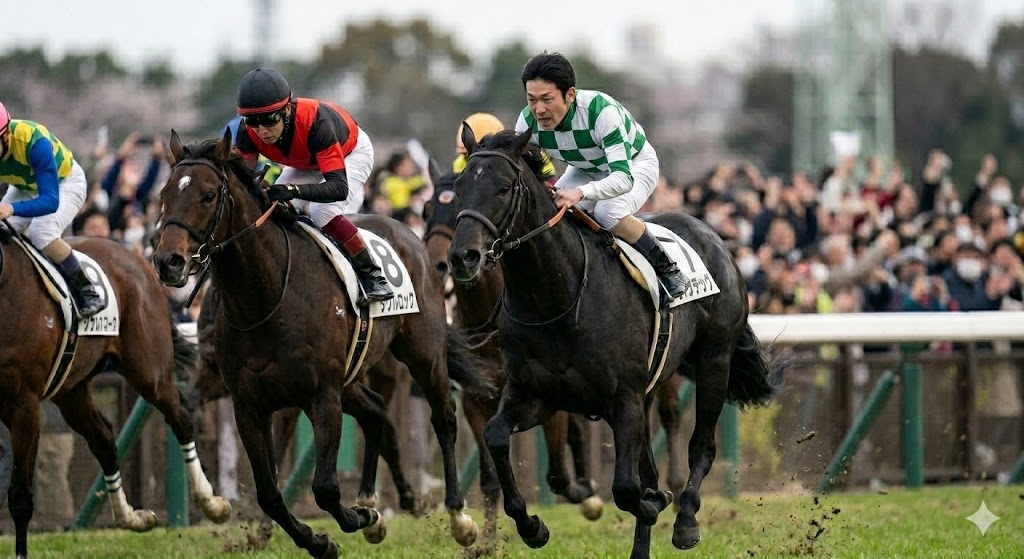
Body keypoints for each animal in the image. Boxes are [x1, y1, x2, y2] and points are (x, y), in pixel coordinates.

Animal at [0, 227, 230, 559]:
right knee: (105, 440)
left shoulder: (24, 405)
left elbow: (20, 495)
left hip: (149, 371)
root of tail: (136, 259)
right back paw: (132, 517)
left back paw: (211, 503)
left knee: (181, 419)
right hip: (71, 389)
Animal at [152, 130, 487, 559]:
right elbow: (269, 493)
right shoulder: (249, 405)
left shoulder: (321, 394)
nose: (168, 261)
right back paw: (370, 500)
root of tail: (413, 239)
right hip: (352, 374)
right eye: (165, 193)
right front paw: (325, 536)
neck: (265, 297)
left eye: (209, 195)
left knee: (443, 417)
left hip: (423, 354)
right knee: (375, 410)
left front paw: (356, 521)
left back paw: (459, 518)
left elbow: (325, 488)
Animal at [423, 169, 605, 535]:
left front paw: (583, 491)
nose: (441, 263)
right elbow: (490, 479)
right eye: (426, 208)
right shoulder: (476, 402)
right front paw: (486, 539)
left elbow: (558, 474)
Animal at [447, 129, 787, 559]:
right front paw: (532, 526)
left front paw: (658, 503)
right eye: (459, 187)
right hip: (649, 390)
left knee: (701, 445)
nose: (463, 257)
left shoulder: (623, 398)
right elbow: (495, 436)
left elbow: (627, 488)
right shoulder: (536, 394)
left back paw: (686, 521)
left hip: (714, 360)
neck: (557, 299)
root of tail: (713, 235)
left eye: (504, 187)